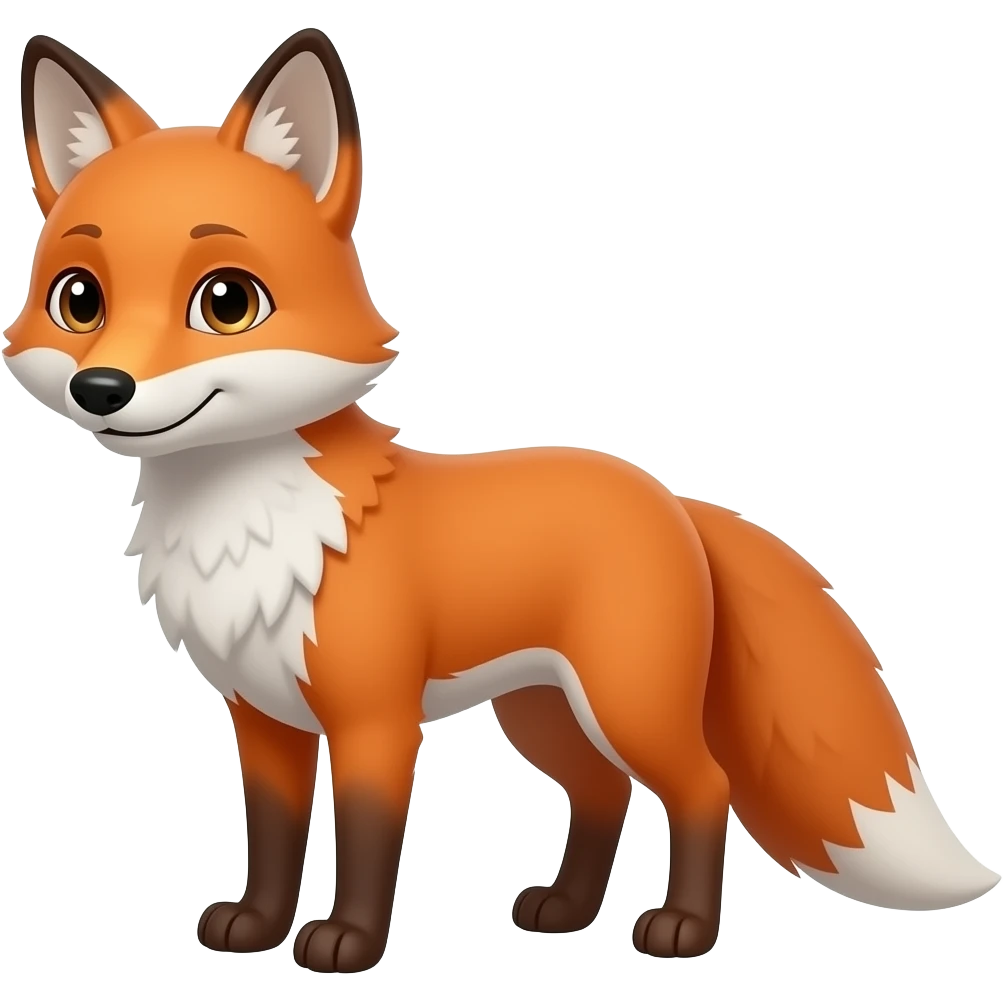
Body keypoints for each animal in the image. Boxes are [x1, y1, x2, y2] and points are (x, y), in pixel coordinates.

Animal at [6, 29, 999, 974]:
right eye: (79, 300)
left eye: (226, 302)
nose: (103, 388)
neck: (251, 522)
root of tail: (669, 494)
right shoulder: (264, 717)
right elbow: (274, 837)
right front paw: (254, 926)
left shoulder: (375, 718)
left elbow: (366, 839)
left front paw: (347, 943)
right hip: (544, 713)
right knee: (602, 792)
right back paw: (564, 910)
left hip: (626, 701)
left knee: (701, 786)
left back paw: (679, 927)